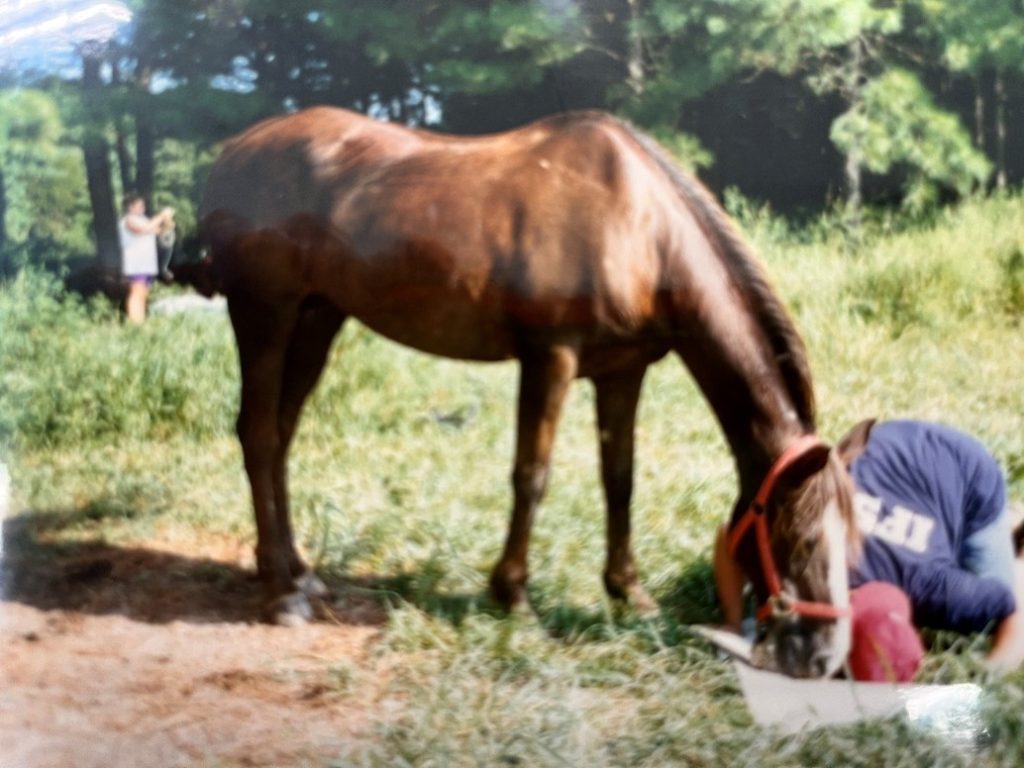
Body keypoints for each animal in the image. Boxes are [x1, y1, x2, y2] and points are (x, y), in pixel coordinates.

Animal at [195, 107, 856, 678]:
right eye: (800, 540)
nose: (823, 657)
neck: (638, 224)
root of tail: (235, 150)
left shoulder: (622, 371)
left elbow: (620, 479)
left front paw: (629, 592)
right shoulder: (550, 356)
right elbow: (531, 476)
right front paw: (512, 596)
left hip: (317, 317)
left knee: (281, 437)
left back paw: (299, 573)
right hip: (264, 312)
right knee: (258, 435)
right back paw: (281, 594)